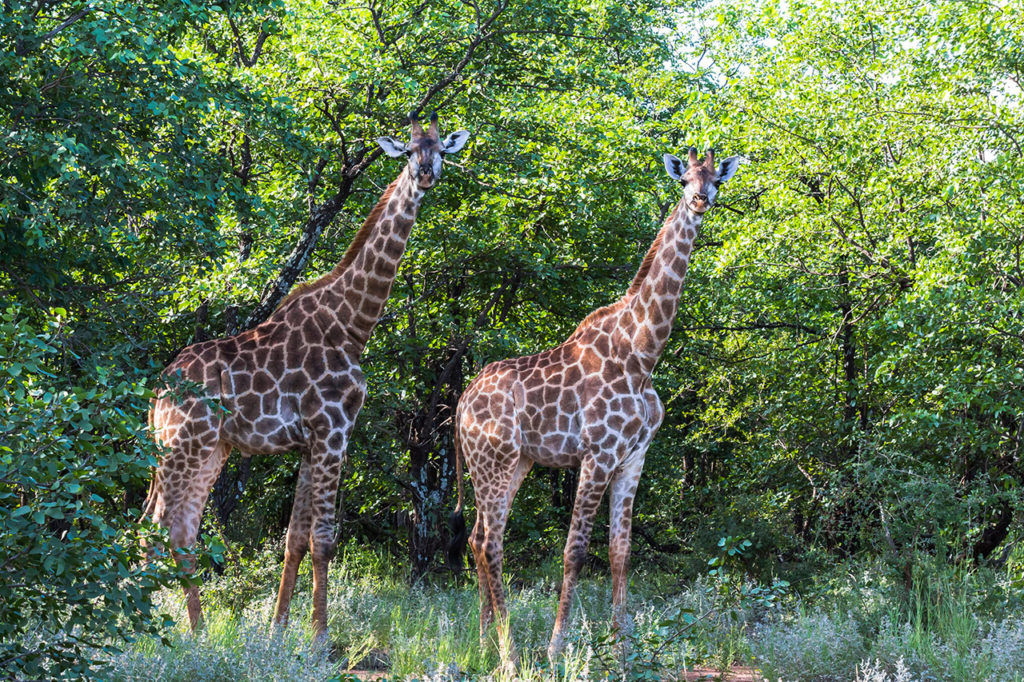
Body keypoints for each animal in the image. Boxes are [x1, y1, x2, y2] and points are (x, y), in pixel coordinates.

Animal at [144, 112, 471, 638]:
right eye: (407, 151)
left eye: (441, 149)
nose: (425, 173)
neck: (353, 323)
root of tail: (158, 391)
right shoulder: (333, 430)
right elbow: (324, 539)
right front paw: (319, 637)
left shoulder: (308, 441)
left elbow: (294, 538)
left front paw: (278, 631)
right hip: (182, 445)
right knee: (153, 529)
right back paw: (147, 633)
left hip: (210, 449)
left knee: (182, 530)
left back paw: (196, 633)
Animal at [452, 144, 741, 659]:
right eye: (684, 179)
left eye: (715, 180)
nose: (700, 201)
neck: (643, 352)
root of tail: (463, 402)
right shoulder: (597, 453)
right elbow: (575, 551)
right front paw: (556, 649)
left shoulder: (634, 456)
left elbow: (620, 552)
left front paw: (623, 649)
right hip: (494, 461)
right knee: (490, 543)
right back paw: (508, 650)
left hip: (513, 462)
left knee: (479, 535)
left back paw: (484, 641)